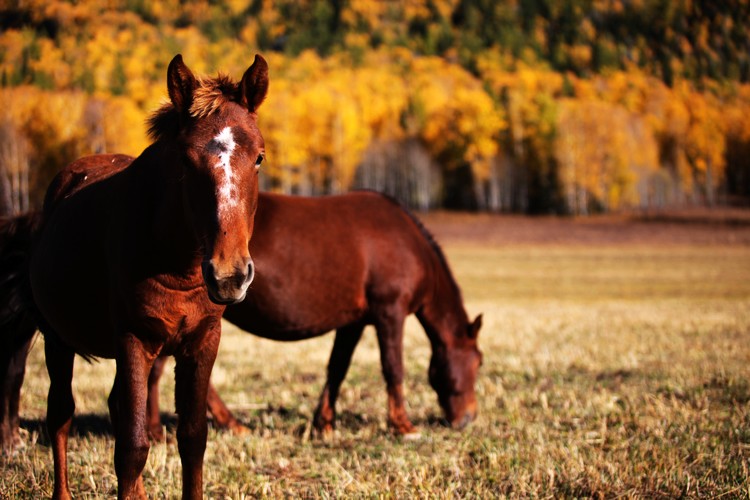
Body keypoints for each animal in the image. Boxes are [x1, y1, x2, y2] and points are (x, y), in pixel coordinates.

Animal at [147, 191, 484, 438]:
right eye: (479, 362)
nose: (468, 418)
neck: (407, 243)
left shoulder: (354, 321)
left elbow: (337, 368)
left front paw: (324, 423)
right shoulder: (390, 312)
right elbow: (393, 368)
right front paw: (403, 425)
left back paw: (227, 423)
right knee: (158, 369)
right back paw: (157, 431)